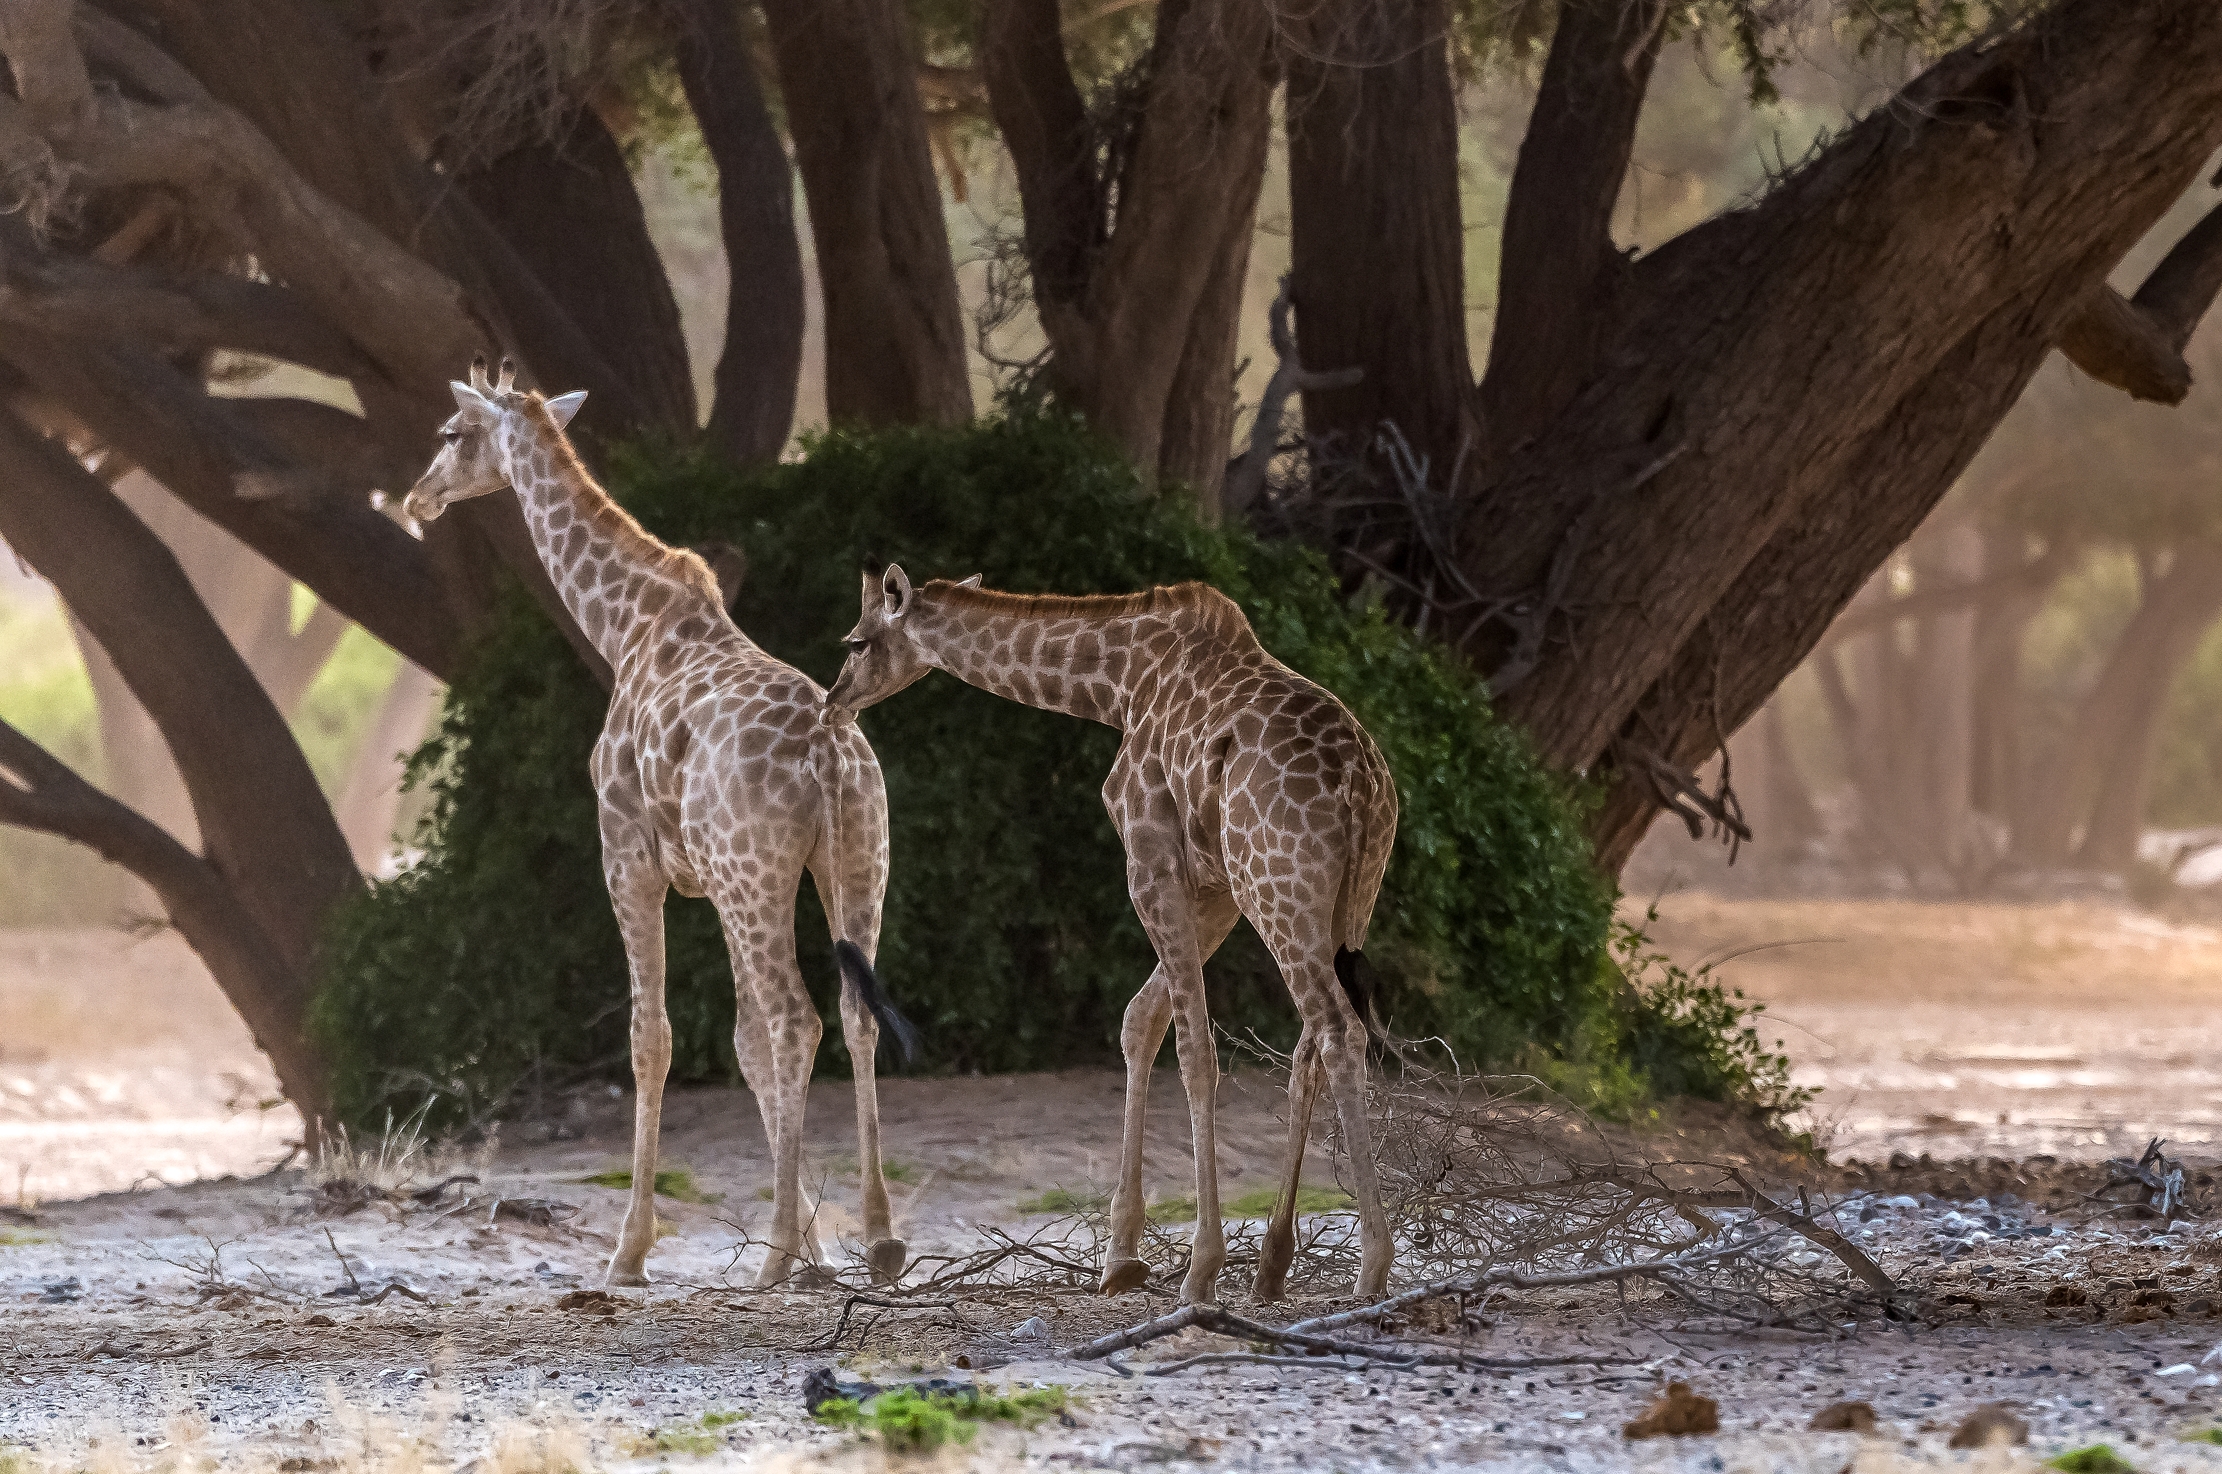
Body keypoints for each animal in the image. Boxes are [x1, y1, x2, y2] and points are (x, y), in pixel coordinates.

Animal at [403, 358, 918, 1289]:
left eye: (451, 434)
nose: (419, 496)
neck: (625, 626)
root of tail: (830, 761)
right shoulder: (711, 878)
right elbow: (743, 1046)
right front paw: (822, 1249)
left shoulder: (627, 854)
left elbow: (654, 1036)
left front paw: (630, 1251)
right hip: (854, 862)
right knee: (850, 1013)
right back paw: (879, 1240)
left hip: (759, 877)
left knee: (797, 1019)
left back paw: (772, 1256)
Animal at [823, 566, 1399, 1303]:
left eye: (857, 640)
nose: (835, 700)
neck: (1118, 685)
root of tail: (1360, 785)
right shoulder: (1215, 883)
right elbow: (1141, 1021)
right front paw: (1123, 1254)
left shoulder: (1152, 857)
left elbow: (1193, 1048)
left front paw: (1199, 1267)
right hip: (1341, 898)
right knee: (1313, 1041)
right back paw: (1273, 1264)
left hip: (1280, 885)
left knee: (1335, 1029)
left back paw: (1372, 1265)